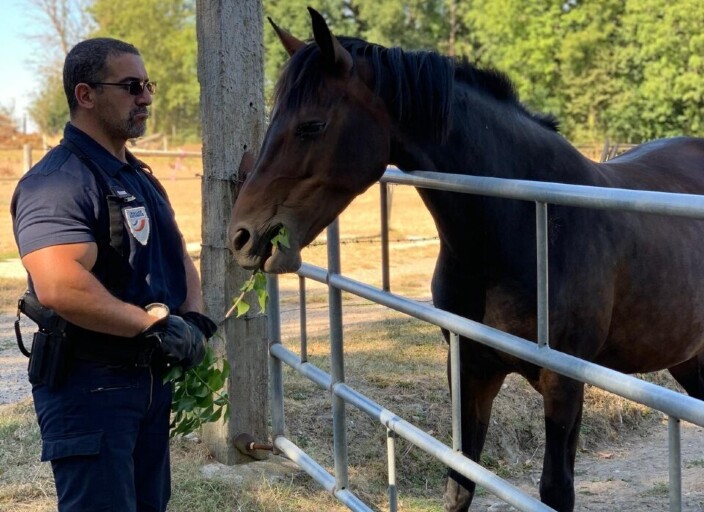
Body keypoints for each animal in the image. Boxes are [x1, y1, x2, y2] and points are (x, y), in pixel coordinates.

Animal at [230, 8, 704, 512]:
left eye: (312, 125)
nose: (241, 236)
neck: (527, 225)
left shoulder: (564, 384)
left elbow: (555, 490)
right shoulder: (470, 368)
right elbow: (460, 481)